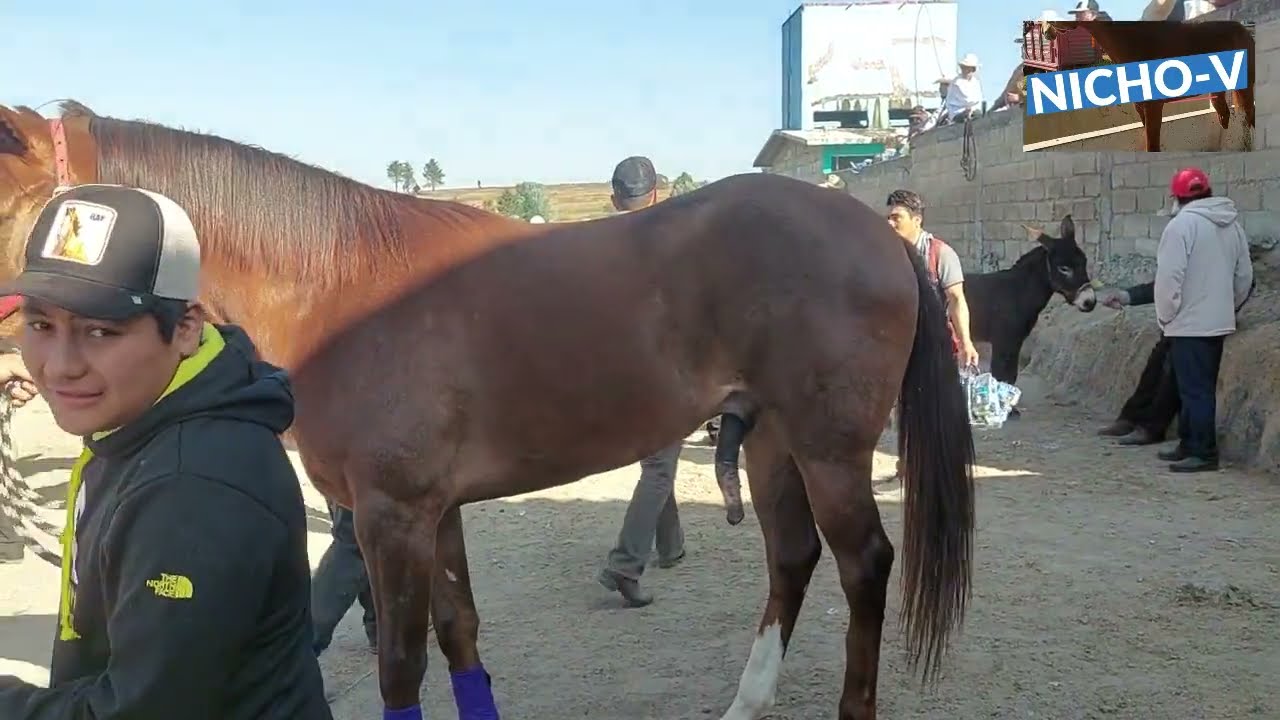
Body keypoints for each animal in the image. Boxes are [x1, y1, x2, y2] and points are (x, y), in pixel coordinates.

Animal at [0, 102, 976, 720]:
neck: (340, 283)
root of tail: (873, 232)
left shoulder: (393, 516)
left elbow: (403, 667)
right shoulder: (435, 513)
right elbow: (461, 636)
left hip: (829, 447)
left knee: (864, 565)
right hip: (770, 439)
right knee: (793, 558)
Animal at [1049, 20, 1255, 152]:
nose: (1048, 28)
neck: (1134, 42)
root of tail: (1244, 30)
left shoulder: (1154, 106)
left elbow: (1153, 145)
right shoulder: (1141, 107)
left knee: (1248, 115)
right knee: (1224, 115)